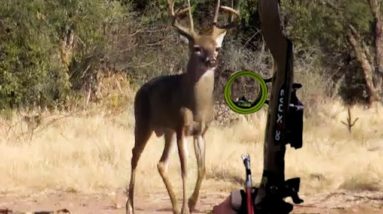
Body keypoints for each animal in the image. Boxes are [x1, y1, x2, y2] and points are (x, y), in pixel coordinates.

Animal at [126, 0, 240, 214]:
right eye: (196, 48)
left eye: (217, 48)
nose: (212, 61)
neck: (197, 106)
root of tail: (140, 90)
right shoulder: (182, 128)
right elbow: (185, 169)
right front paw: (187, 206)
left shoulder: (200, 132)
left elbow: (202, 168)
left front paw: (192, 203)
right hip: (142, 122)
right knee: (135, 154)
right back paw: (130, 206)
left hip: (168, 131)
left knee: (161, 163)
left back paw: (174, 206)